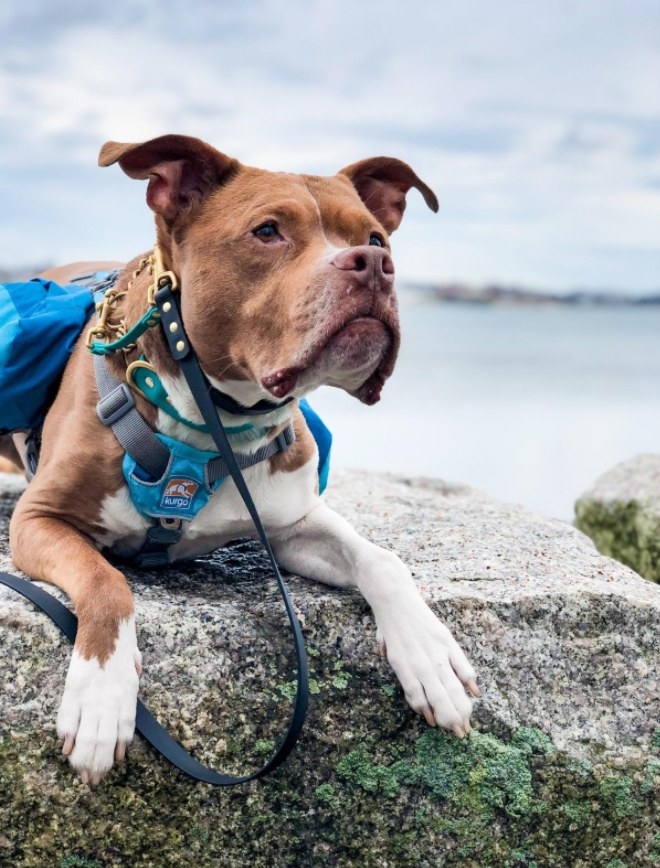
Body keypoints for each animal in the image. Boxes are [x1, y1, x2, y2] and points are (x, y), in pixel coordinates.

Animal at [3, 131, 480, 788]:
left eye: (377, 238)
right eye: (268, 231)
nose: (372, 264)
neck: (214, 419)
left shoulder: (293, 524)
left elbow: (381, 560)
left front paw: (430, 654)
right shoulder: (40, 518)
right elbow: (106, 582)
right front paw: (101, 699)